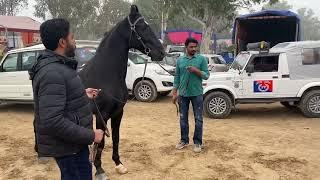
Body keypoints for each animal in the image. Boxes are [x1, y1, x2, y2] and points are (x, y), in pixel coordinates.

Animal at [78, 4, 165, 179]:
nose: (161, 52)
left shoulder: (118, 112)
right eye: (143, 27)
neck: (106, 74)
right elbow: (101, 142)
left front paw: (119, 164)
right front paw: (99, 169)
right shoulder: (102, 115)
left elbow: (116, 138)